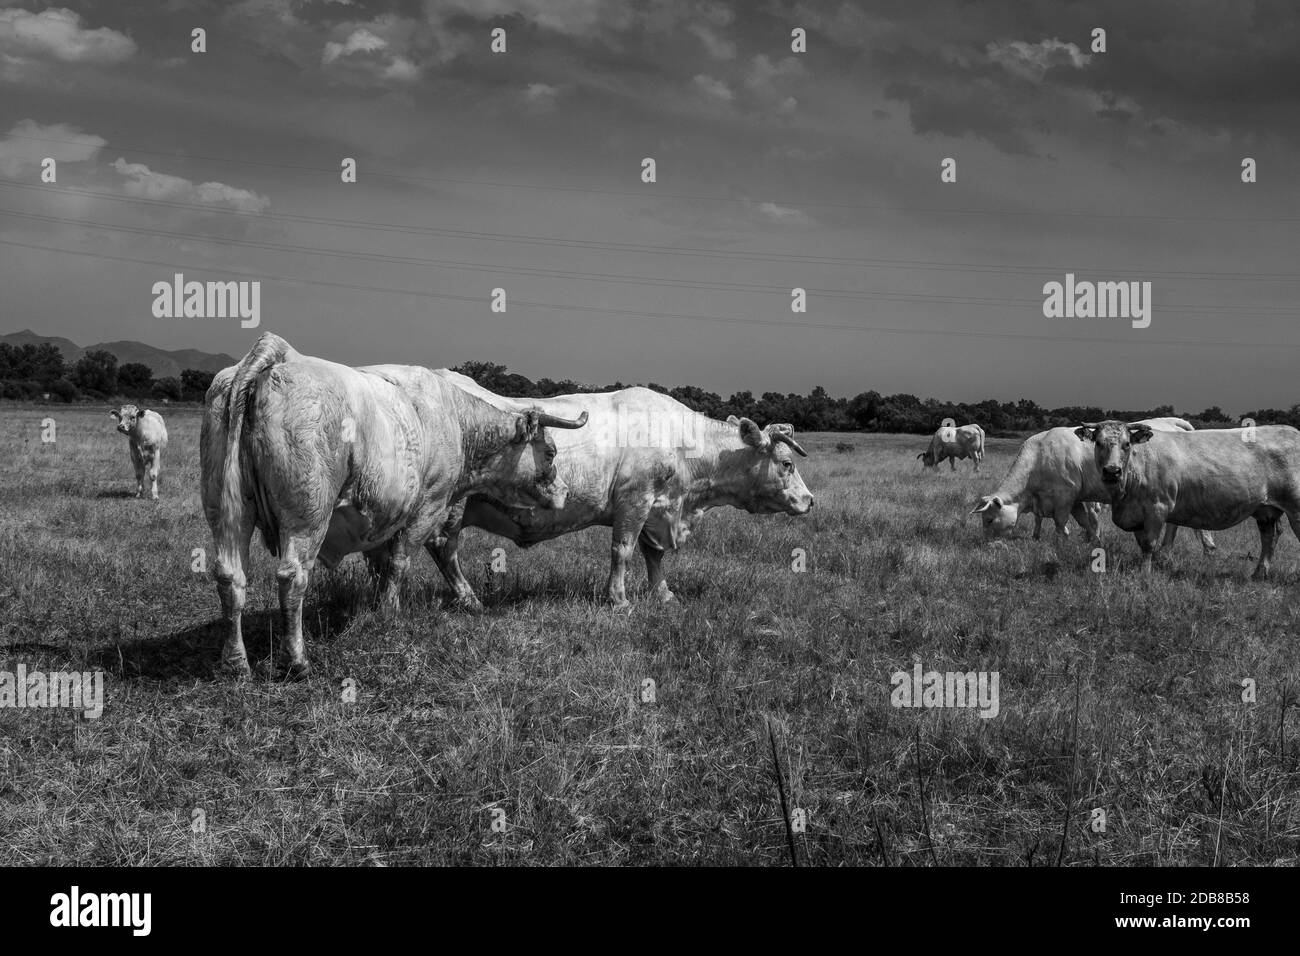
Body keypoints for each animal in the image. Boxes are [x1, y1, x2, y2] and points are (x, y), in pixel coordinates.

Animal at [200, 332, 587, 676]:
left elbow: (380, 565)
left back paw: (235, 663)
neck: (458, 421)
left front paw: (373, 608)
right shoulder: (429, 505)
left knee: (230, 576)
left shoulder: (379, 518)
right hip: (307, 515)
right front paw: (389, 614)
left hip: (228, 510)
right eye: (550, 452)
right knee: (292, 576)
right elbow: (399, 562)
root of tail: (279, 354)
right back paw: (296, 661)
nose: (564, 492)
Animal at [426, 377, 811, 608]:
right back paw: (470, 599)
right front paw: (619, 599)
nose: (809, 500)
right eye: (787, 463)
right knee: (444, 546)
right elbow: (622, 551)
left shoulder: (655, 507)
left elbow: (653, 554)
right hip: (453, 505)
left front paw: (663, 594)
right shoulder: (634, 499)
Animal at [977, 418, 1216, 554]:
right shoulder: (1075, 499)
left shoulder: (1064, 495)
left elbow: (1060, 523)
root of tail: (1175, 423)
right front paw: (1094, 541)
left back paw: (1203, 546)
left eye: (989, 520)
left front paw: (1061, 544)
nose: (987, 545)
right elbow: (1084, 522)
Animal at [1071, 421, 1300, 574]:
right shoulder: (1136, 515)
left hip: (1295, 507)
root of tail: (1292, 431)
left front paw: (1145, 575)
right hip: (1265, 510)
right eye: (1099, 443)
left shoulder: (1158, 507)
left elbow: (1149, 544)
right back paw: (1259, 573)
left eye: (1127, 444)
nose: (1112, 471)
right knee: (1269, 536)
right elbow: (1141, 543)